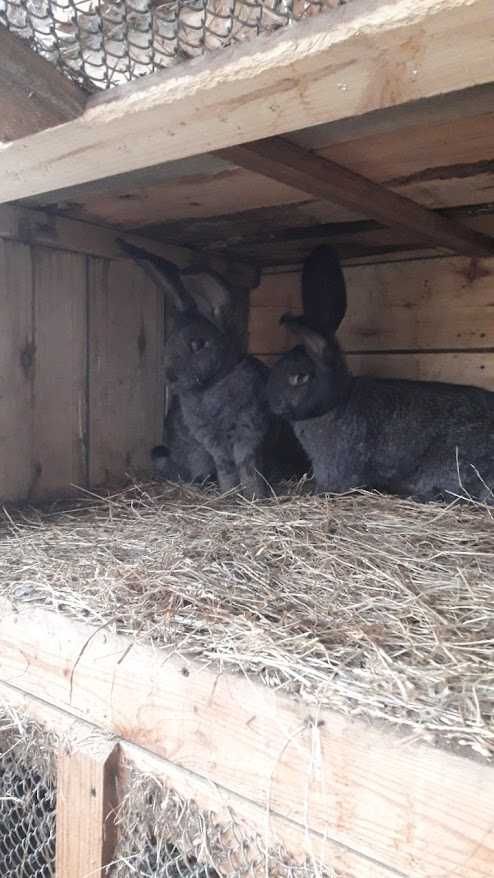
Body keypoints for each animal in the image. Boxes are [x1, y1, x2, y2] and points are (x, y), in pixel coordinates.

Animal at [117, 241, 306, 498]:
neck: (215, 383)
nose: (170, 376)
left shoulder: (249, 431)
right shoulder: (212, 440)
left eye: (198, 344)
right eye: (168, 340)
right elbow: (226, 466)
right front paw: (229, 493)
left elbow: (247, 465)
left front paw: (254, 496)